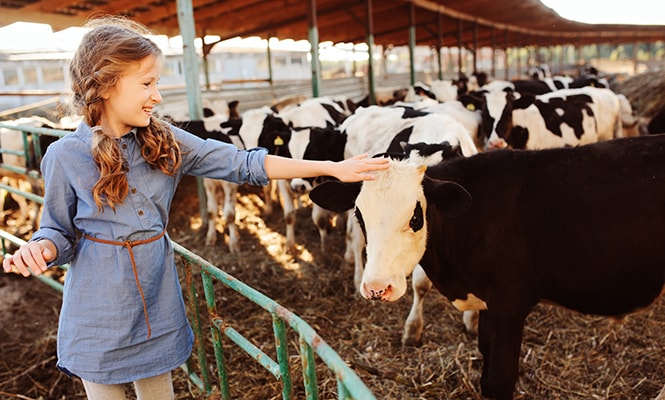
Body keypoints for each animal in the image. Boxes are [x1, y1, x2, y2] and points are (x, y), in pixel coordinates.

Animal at [310, 134, 665, 400]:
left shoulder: (510, 304)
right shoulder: (489, 305)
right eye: (359, 214)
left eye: (415, 216)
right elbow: (485, 357)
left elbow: (500, 377)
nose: (376, 287)